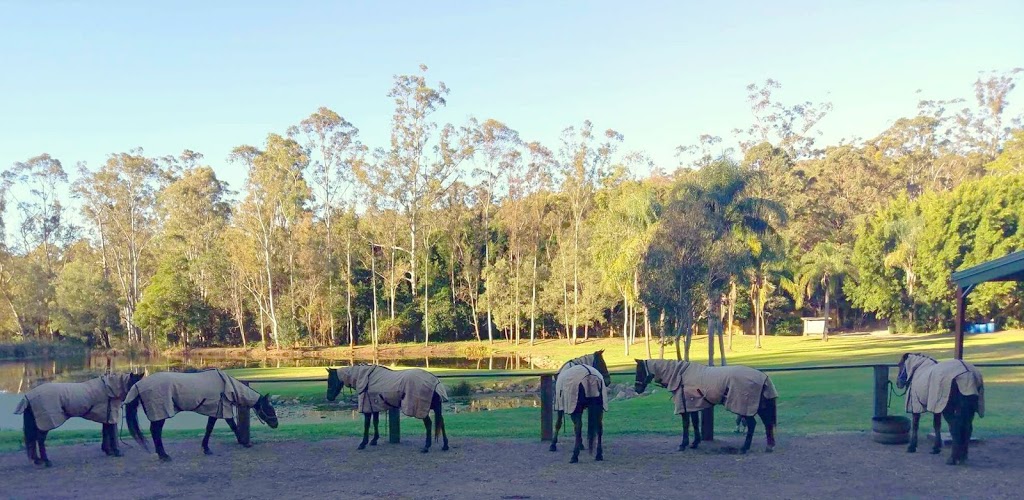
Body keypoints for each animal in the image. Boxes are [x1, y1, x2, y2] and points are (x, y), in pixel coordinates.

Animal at [14, 368, 144, 467]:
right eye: (134, 384)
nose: (137, 403)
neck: (108, 389)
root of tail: (28, 396)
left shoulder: (105, 416)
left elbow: (105, 432)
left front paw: (108, 451)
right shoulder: (111, 416)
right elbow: (113, 433)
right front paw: (117, 451)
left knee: (33, 439)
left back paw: (38, 460)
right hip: (46, 423)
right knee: (40, 440)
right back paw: (46, 461)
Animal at [123, 366, 276, 461]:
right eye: (269, 408)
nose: (275, 424)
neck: (225, 385)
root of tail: (138, 385)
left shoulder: (215, 410)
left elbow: (215, 428)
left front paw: (206, 448)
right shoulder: (220, 409)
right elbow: (227, 426)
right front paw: (244, 442)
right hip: (160, 413)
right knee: (155, 431)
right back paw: (164, 455)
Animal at [630, 356, 774, 454]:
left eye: (640, 371)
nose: (637, 389)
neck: (680, 376)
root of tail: (763, 376)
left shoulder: (685, 406)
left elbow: (686, 424)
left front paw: (683, 444)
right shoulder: (692, 405)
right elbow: (694, 423)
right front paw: (694, 443)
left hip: (745, 406)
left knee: (752, 424)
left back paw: (744, 448)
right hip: (758, 406)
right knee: (767, 423)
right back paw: (769, 446)